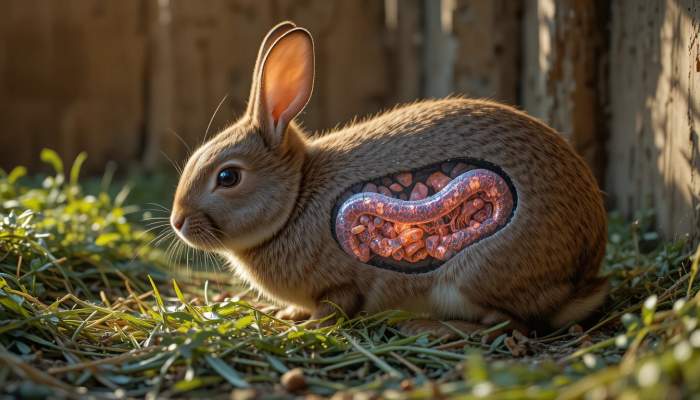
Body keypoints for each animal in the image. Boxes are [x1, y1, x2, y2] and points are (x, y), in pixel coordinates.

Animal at [170, 21, 608, 337]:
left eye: (228, 176)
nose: (177, 222)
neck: (295, 200)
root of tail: (583, 269)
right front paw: (287, 313)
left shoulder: (342, 283)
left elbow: (335, 307)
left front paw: (301, 327)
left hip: (475, 274)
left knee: (507, 322)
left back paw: (428, 328)